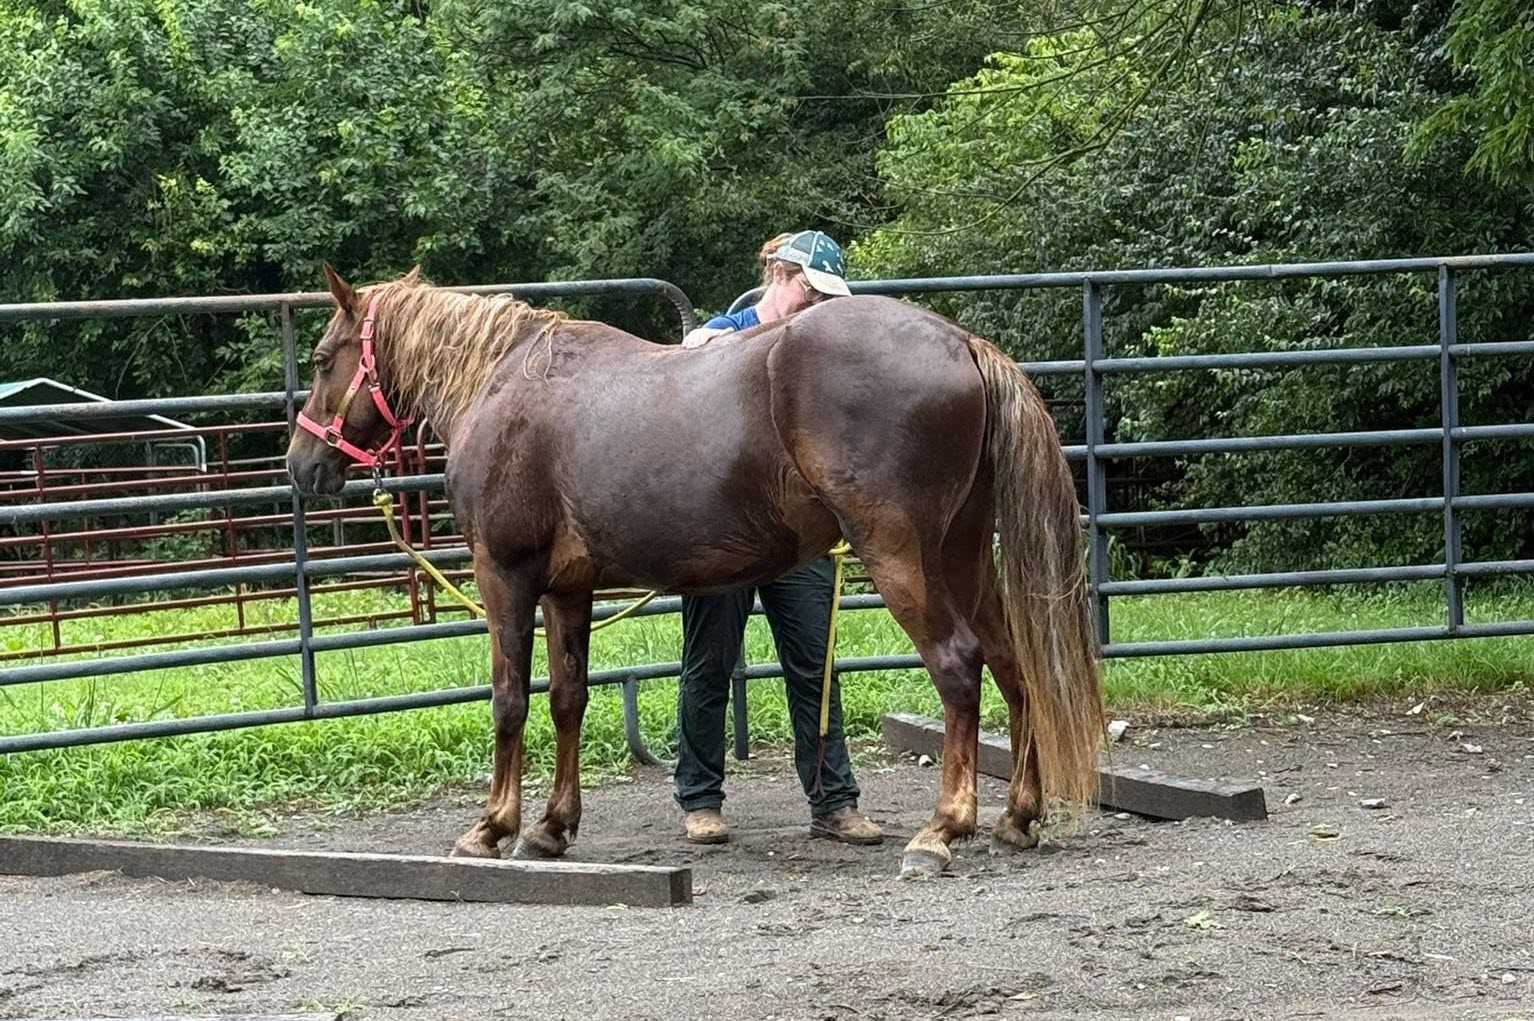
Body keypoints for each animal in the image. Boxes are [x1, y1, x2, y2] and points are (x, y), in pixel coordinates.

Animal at [286, 265, 1103, 877]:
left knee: (960, 666)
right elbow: (568, 700)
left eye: (324, 360)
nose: (301, 465)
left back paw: (943, 829)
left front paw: (492, 826)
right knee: (1013, 665)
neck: (506, 383)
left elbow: (510, 702)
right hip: (963, 556)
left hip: (902, 555)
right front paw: (551, 826)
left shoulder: (506, 578)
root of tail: (962, 342)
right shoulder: (568, 591)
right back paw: (1017, 815)